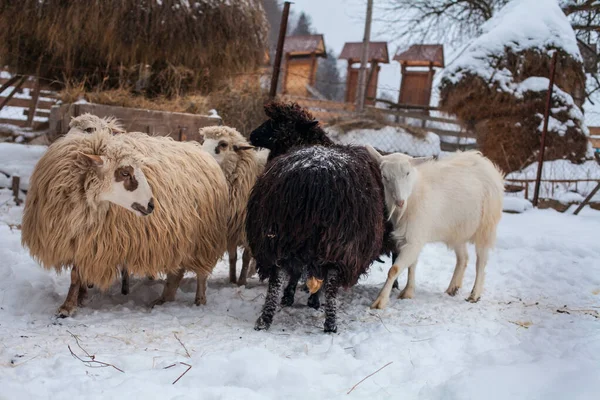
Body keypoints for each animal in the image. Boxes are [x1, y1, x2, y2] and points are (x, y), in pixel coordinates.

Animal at [22, 122, 229, 316]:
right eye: (125, 173)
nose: (152, 205)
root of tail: (198, 150)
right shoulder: (81, 238)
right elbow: (77, 273)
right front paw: (78, 299)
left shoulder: (91, 240)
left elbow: (75, 275)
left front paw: (67, 308)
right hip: (181, 236)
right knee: (176, 271)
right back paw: (164, 299)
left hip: (204, 239)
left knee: (201, 273)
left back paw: (199, 300)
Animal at [199, 125, 268, 284]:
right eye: (204, 141)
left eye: (223, 144)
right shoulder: (230, 229)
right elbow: (233, 258)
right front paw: (231, 279)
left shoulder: (247, 229)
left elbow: (246, 257)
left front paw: (241, 281)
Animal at [247, 101, 398, 332]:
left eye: (279, 124)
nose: (252, 135)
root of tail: (313, 178)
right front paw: (302, 298)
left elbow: (297, 273)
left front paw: (292, 297)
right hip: (338, 240)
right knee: (330, 280)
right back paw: (329, 322)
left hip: (278, 233)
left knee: (278, 276)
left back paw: (266, 318)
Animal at [366, 147, 506, 310]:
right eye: (384, 176)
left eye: (407, 173)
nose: (400, 202)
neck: (415, 193)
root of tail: (486, 163)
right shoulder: (412, 238)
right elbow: (412, 266)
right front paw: (408, 292)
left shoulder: (415, 238)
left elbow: (393, 270)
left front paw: (380, 300)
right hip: (457, 230)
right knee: (463, 258)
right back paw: (452, 288)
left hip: (486, 226)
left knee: (481, 262)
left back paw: (474, 294)